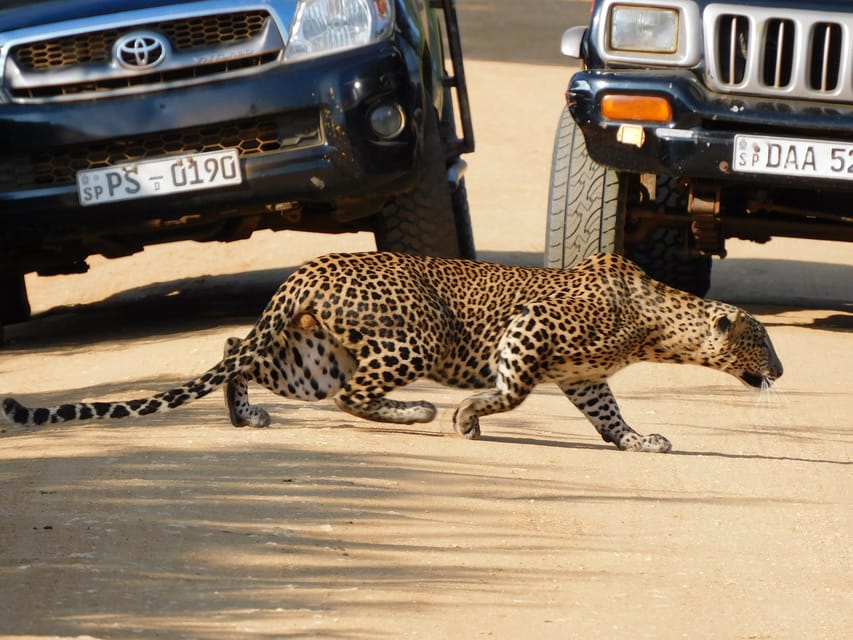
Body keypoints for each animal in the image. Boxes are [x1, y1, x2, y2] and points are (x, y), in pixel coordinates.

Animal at [1, 252, 784, 452]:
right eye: (766, 340)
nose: (780, 370)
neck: (657, 329)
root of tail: (303, 270)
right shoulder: (532, 330)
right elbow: (509, 392)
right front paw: (469, 418)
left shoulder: (584, 376)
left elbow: (609, 414)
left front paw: (638, 442)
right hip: (415, 335)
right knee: (355, 396)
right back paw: (418, 414)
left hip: (308, 357)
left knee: (237, 350)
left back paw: (244, 418)